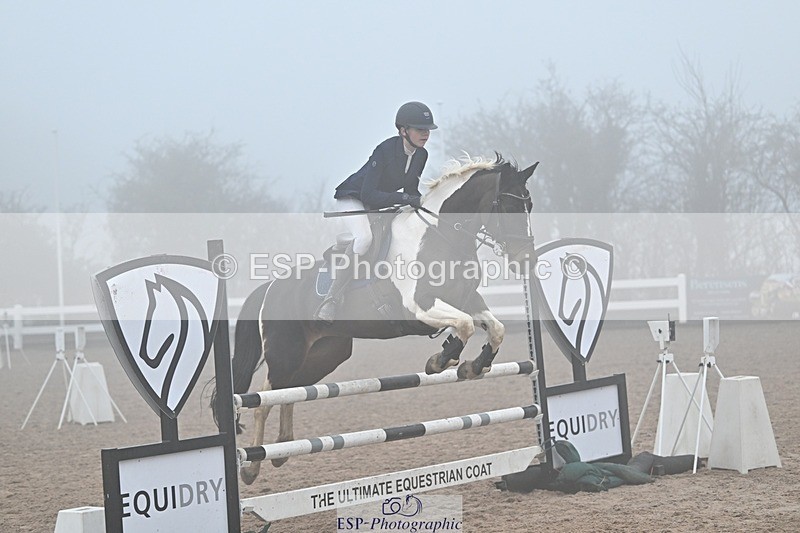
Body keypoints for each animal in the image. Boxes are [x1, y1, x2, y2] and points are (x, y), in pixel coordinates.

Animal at [212, 154, 538, 485]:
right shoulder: (420, 306)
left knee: (291, 392)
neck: (442, 235)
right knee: (263, 399)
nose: (526, 258)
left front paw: (474, 366)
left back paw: (283, 449)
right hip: (285, 354)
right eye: (508, 206)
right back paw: (251, 467)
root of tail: (269, 288)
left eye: (530, 206)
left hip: (325, 355)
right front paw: (441, 360)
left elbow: (495, 329)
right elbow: (465, 326)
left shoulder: (467, 301)